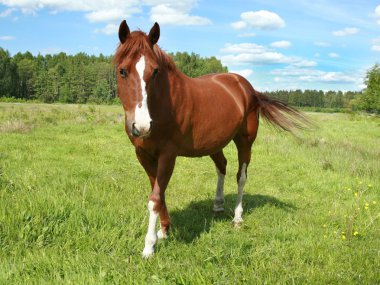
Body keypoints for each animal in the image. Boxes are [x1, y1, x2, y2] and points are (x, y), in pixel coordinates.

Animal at [113, 20, 308, 258]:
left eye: (155, 71)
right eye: (123, 71)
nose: (141, 126)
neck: (164, 102)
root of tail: (248, 88)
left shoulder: (168, 156)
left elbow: (156, 198)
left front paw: (149, 246)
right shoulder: (143, 155)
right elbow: (159, 193)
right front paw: (164, 230)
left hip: (245, 142)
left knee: (241, 176)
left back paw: (237, 217)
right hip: (215, 144)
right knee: (222, 166)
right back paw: (217, 204)